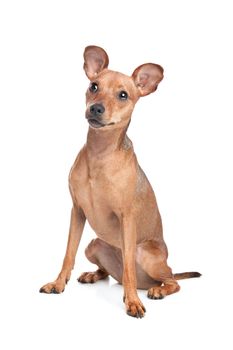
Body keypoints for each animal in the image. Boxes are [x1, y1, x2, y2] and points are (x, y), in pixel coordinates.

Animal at [40, 45, 200, 318]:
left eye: (123, 95)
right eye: (93, 86)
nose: (96, 108)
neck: (100, 154)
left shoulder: (127, 218)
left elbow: (128, 270)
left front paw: (133, 301)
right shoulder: (77, 212)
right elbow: (68, 254)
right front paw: (58, 283)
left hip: (145, 254)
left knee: (169, 280)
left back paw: (155, 290)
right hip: (93, 245)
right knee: (110, 273)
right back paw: (94, 275)